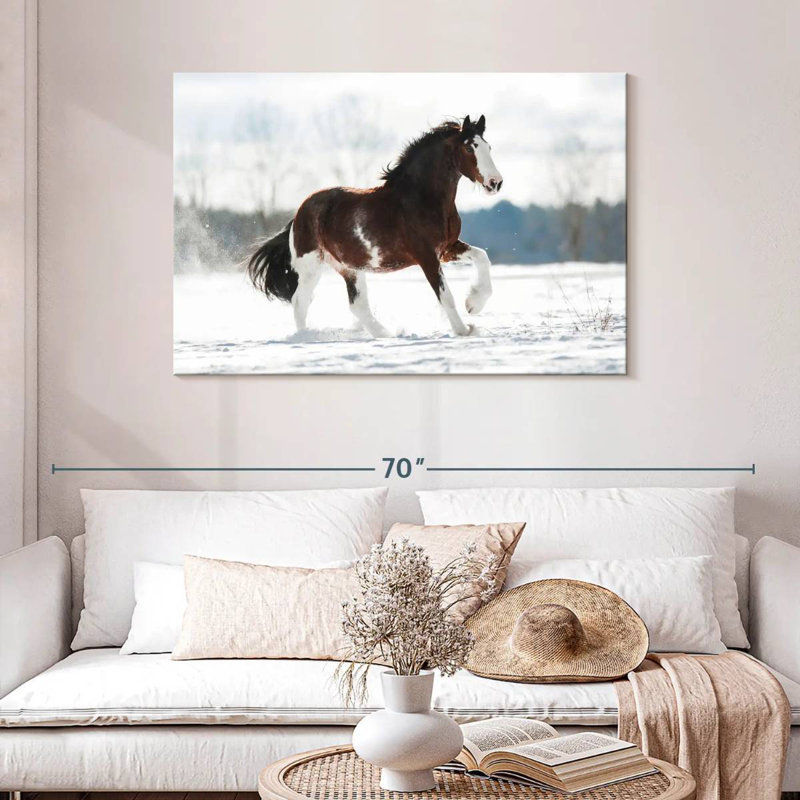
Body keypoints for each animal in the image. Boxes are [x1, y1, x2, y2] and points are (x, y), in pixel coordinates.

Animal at [247, 114, 503, 338]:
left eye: (489, 147)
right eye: (470, 148)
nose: (496, 183)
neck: (420, 198)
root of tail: (298, 215)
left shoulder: (447, 249)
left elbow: (482, 257)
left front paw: (474, 304)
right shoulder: (426, 255)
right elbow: (445, 295)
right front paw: (464, 329)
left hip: (350, 268)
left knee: (357, 305)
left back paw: (387, 334)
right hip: (311, 265)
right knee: (301, 301)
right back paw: (307, 337)